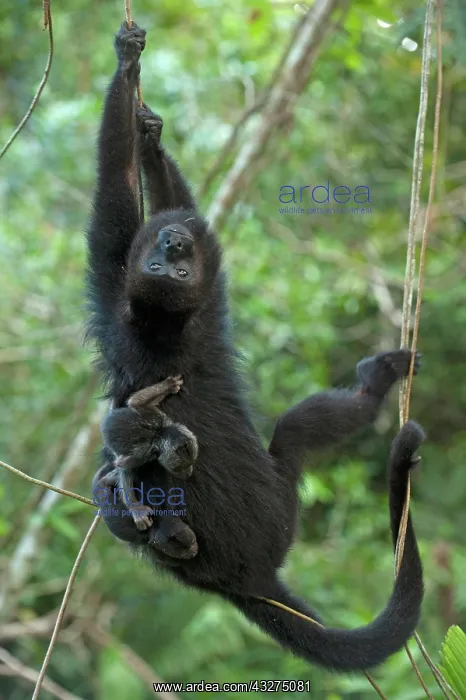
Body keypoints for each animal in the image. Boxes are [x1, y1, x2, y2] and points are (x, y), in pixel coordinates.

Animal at [97, 375, 199, 559]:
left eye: (191, 463)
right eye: (180, 468)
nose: (188, 473)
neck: (158, 434)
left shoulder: (160, 417)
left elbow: (136, 402)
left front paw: (168, 385)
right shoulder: (143, 454)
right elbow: (124, 466)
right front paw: (136, 510)